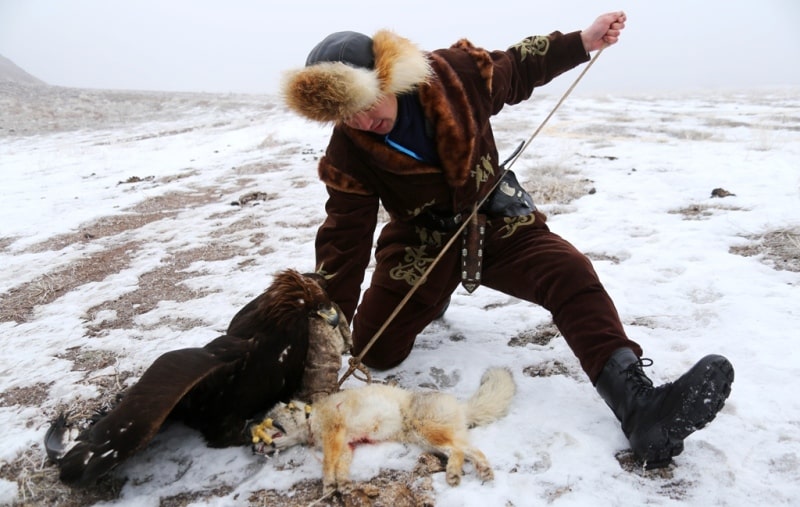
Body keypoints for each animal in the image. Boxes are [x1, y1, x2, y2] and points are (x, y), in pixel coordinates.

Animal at [253, 368, 516, 494]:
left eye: (267, 425)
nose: (253, 448)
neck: (311, 417)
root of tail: (460, 406)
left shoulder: (334, 435)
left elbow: (328, 464)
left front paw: (328, 485)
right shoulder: (346, 445)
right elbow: (341, 468)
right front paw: (343, 484)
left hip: (427, 433)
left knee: (460, 450)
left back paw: (454, 474)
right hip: (430, 441)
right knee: (469, 451)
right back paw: (479, 471)